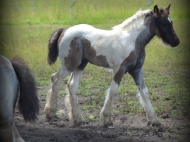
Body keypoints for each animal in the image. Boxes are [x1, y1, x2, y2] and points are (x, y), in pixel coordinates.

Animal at [44, 4, 180, 127]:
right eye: (163, 23)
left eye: (171, 22)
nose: (176, 41)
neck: (131, 41)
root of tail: (65, 30)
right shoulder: (119, 70)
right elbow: (113, 91)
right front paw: (106, 119)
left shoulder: (137, 71)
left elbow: (144, 92)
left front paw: (154, 120)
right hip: (69, 64)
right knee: (55, 79)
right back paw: (50, 113)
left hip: (80, 65)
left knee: (71, 85)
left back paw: (78, 120)